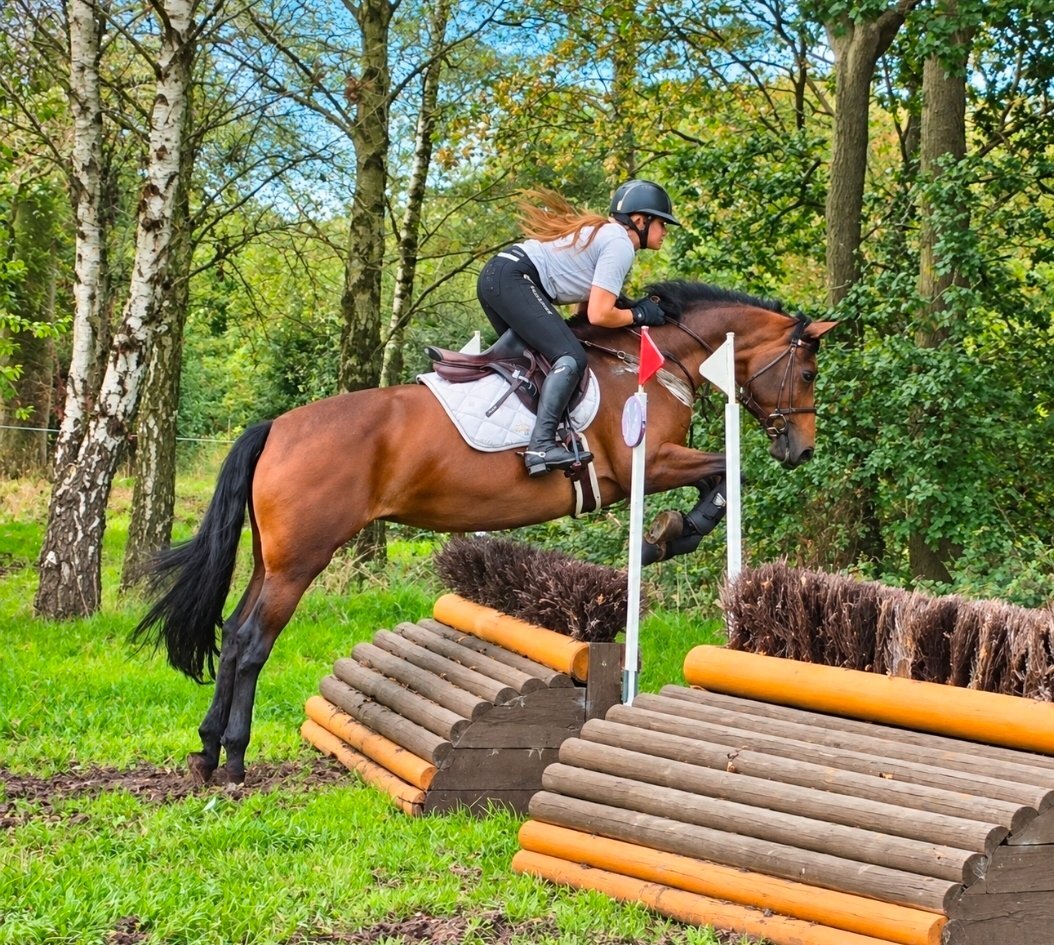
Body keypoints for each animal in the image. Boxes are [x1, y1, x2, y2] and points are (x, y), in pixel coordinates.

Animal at [134, 280, 836, 783]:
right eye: (806, 374)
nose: (801, 450)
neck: (658, 361)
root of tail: (277, 427)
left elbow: (720, 477)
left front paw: (664, 534)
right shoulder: (647, 460)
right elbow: (722, 475)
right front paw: (666, 534)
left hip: (271, 559)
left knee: (232, 636)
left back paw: (206, 752)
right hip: (302, 560)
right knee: (253, 641)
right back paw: (234, 761)